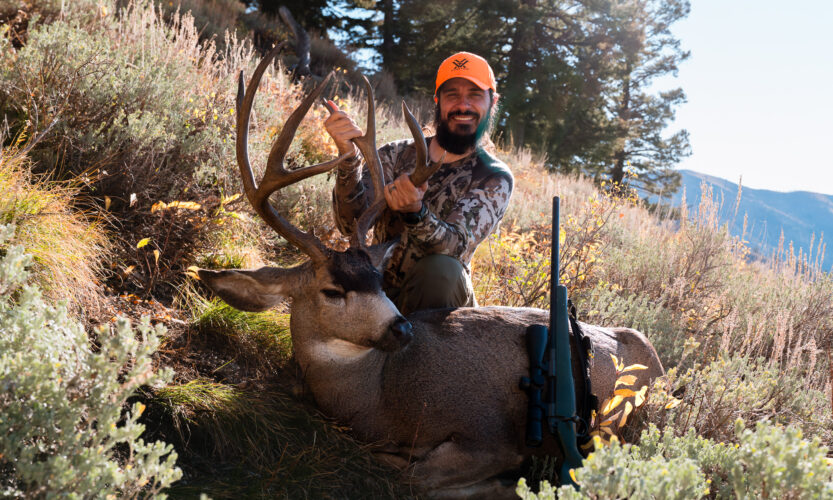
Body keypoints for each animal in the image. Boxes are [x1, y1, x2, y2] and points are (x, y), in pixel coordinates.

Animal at [198, 44, 664, 499]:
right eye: (332, 290)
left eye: (378, 280)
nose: (401, 327)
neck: (382, 396)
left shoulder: (490, 436)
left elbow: (414, 475)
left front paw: (502, 483)